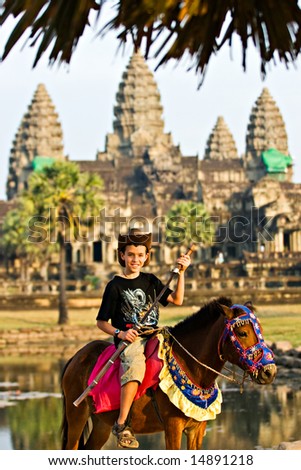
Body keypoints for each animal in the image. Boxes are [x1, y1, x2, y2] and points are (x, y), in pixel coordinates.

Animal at [61, 298, 276, 452]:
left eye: (261, 330)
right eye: (242, 333)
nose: (269, 372)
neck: (193, 371)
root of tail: (75, 357)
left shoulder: (197, 429)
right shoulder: (172, 426)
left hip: (102, 422)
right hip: (76, 414)